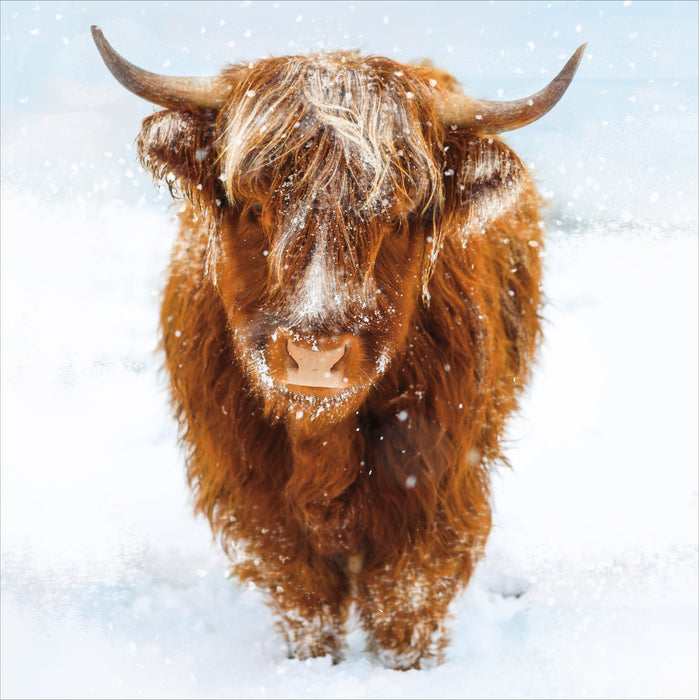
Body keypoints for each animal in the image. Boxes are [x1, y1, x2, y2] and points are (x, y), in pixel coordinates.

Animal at [92, 26, 583, 669]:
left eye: (397, 215)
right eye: (255, 205)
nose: (315, 355)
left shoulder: (437, 482)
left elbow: (406, 595)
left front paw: (405, 668)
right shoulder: (251, 487)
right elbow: (302, 590)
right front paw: (312, 662)